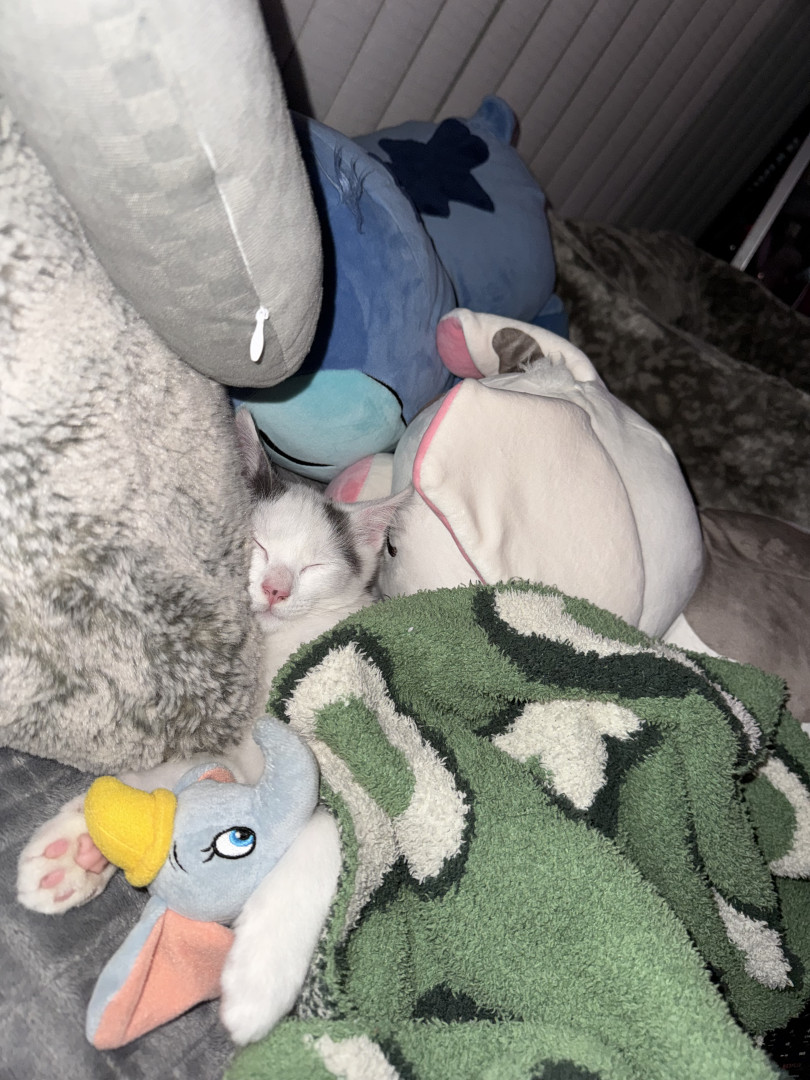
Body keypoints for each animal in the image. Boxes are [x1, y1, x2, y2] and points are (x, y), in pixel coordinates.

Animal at [17, 407, 405, 1043]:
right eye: (256, 543)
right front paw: (76, 848)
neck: (270, 657)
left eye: (314, 566)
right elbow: (184, 770)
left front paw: (259, 975)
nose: (275, 587)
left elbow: (335, 824)